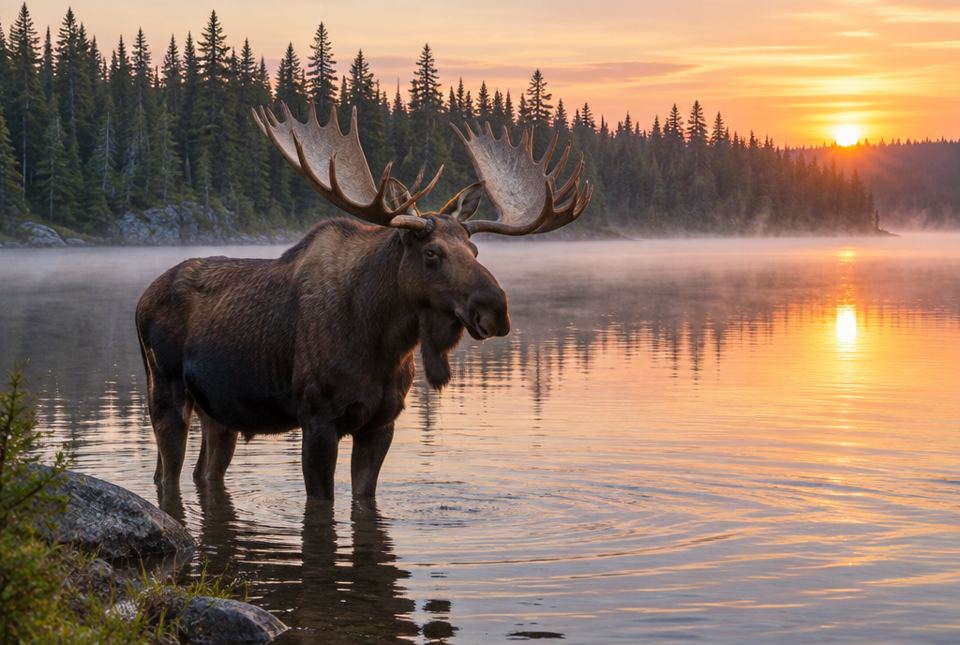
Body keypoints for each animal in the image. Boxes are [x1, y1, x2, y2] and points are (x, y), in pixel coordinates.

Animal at [135, 102, 592, 501]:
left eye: (475, 251)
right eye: (432, 254)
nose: (497, 310)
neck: (382, 343)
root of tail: (141, 300)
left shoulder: (381, 423)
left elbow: (363, 499)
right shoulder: (317, 417)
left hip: (219, 413)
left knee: (203, 472)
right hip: (166, 392)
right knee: (166, 475)